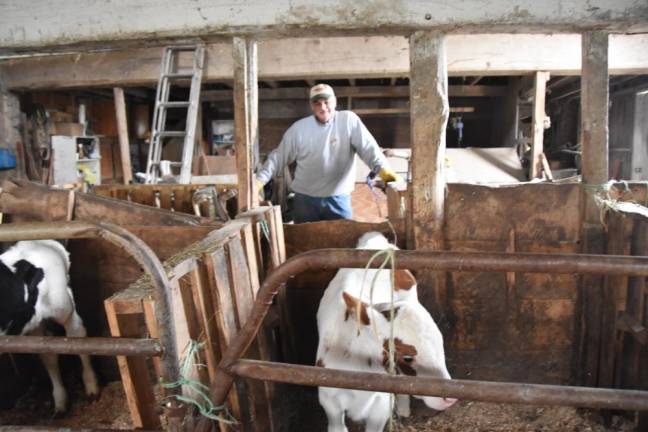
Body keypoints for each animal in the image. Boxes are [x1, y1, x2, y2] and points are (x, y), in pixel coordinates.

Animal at [0, 241, 99, 414]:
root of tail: (45, 243)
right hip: (35, 321)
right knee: (47, 352)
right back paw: (60, 403)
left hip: (62, 305)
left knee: (77, 335)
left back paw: (91, 387)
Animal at [316, 233, 454, 432]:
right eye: (407, 357)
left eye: (440, 344)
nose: (450, 398)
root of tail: (376, 241)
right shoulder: (328, 399)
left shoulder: (381, 402)